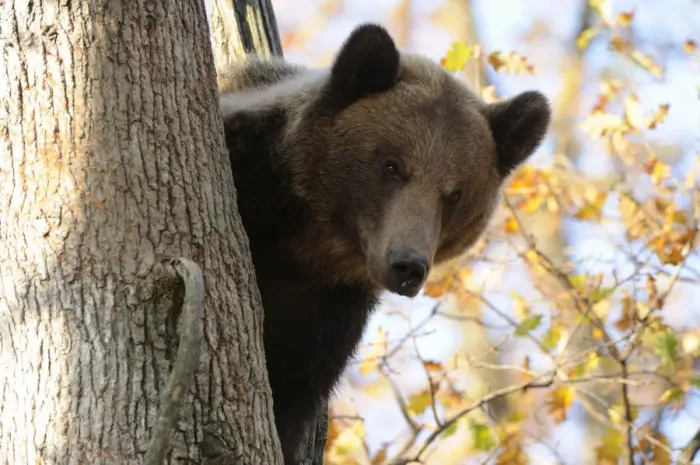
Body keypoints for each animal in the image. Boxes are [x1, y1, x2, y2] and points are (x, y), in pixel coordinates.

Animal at [218, 23, 551, 464]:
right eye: (391, 166)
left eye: (455, 194)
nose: (407, 265)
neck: (308, 243)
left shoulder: (326, 314)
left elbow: (290, 393)